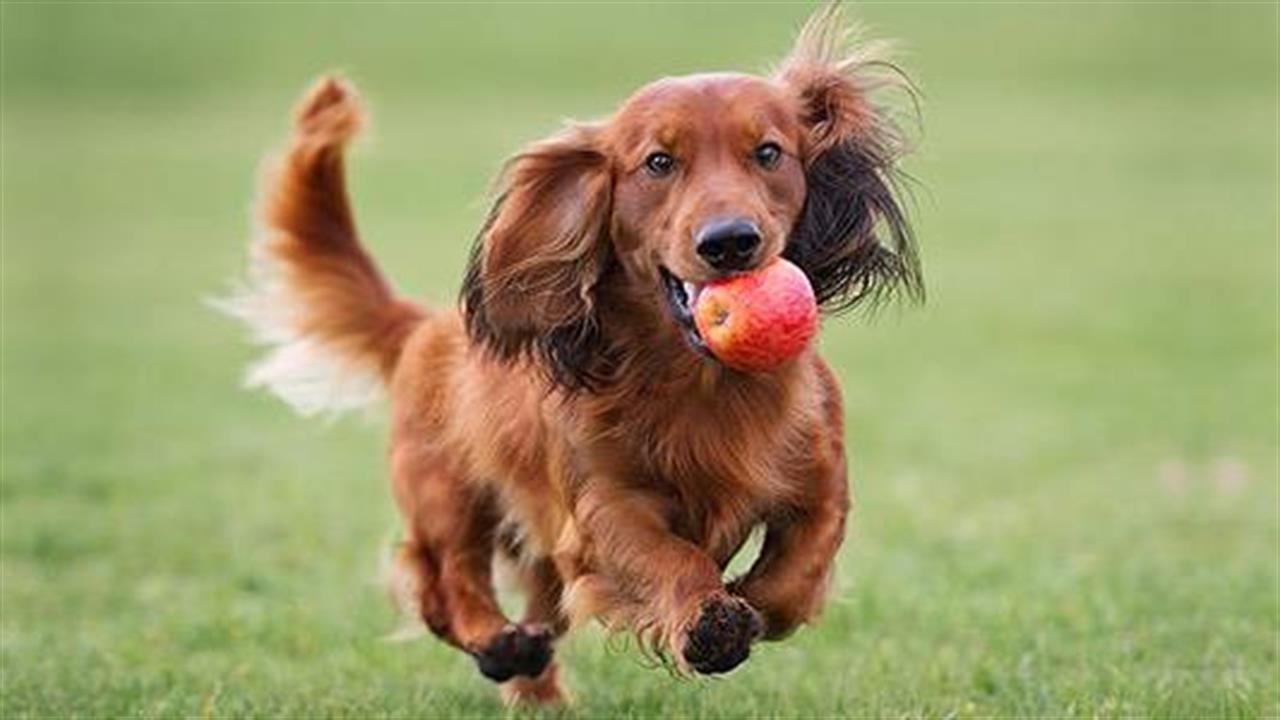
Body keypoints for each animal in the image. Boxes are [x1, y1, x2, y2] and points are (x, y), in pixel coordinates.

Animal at [220, 2, 921, 702]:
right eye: (659, 162)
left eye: (769, 152)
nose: (729, 242)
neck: (703, 384)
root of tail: (423, 325)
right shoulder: (601, 507)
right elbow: (668, 556)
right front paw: (708, 620)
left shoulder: (822, 481)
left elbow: (795, 576)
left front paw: (748, 600)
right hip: (445, 490)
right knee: (444, 580)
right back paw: (496, 643)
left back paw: (537, 688)